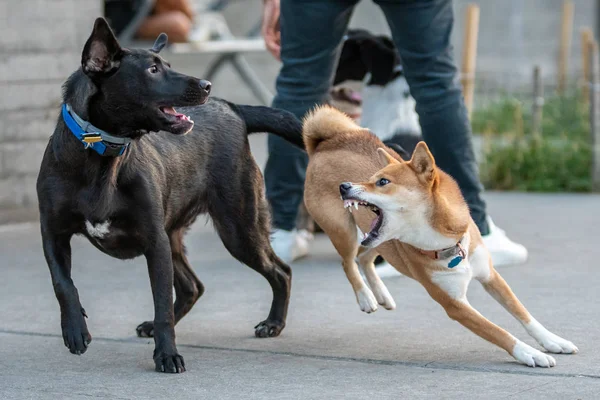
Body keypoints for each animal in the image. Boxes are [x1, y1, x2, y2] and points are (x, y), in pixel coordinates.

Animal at [36, 17, 304, 374]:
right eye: (152, 70)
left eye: (168, 66)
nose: (206, 84)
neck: (100, 154)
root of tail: (232, 109)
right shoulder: (53, 233)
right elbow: (63, 284)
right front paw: (75, 330)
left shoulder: (154, 241)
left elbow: (161, 302)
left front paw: (167, 355)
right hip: (178, 234)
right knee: (193, 287)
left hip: (238, 227)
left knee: (280, 271)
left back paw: (273, 323)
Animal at [304, 105, 576, 366]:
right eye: (372, 180)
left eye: (382, 182)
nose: (344, 186)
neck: (449, 244)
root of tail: (326, 143)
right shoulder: (455, 305)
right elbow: (498, 332)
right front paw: (529, 353)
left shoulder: (492, 277)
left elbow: (524, 315)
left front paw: (552, 340)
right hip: (343, 231)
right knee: (348, 262)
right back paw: (365, 297)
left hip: (380, 242)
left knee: (363, 258)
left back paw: (381, 294)